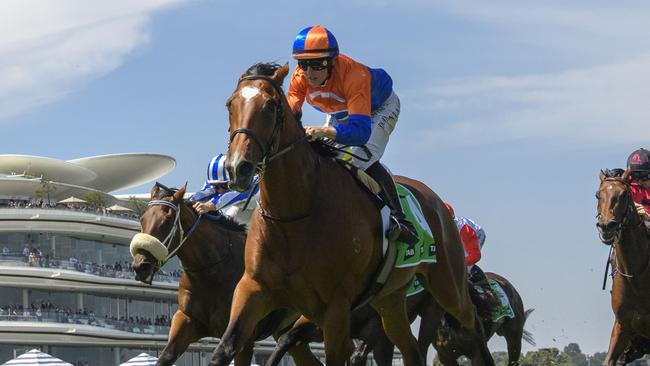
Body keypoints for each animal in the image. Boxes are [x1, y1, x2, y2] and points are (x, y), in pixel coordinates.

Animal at [129, 184, 322, 366]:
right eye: (142, 219)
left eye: (167, 220)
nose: (141, 266)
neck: (211, 272)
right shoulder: (186, 320)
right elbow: (165, 357)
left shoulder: (245, 335)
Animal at [210, 63, 494, 366]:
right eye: (230, 104)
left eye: (271, 105)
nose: (238, 167)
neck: (296, 212)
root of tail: (437, 202)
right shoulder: (254, 289)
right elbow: (225, 348)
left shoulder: (335, 308)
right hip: (389, 300)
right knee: (411, 349)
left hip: (448, 287)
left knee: (473, 323)